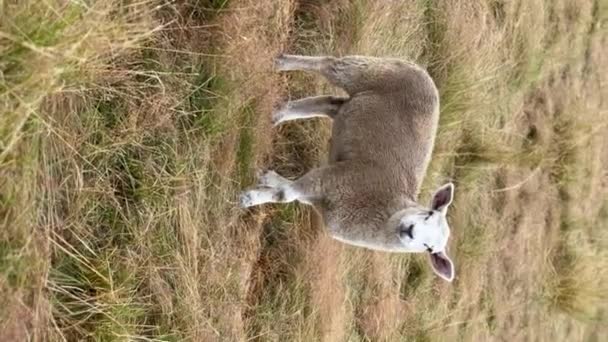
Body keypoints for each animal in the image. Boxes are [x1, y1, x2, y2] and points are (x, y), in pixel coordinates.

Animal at [240, 54, 454, 282]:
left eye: (430, 249)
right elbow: (285, 195)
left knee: (331, 104)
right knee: (328, 64)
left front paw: (267, 180)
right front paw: (249, 198)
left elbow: (289, 191)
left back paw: (279, 114)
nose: (409, 231)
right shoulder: (338, 177)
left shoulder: (323, 191)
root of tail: (423, 72)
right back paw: (283, 63)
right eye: (428, 213)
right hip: (368, 72)